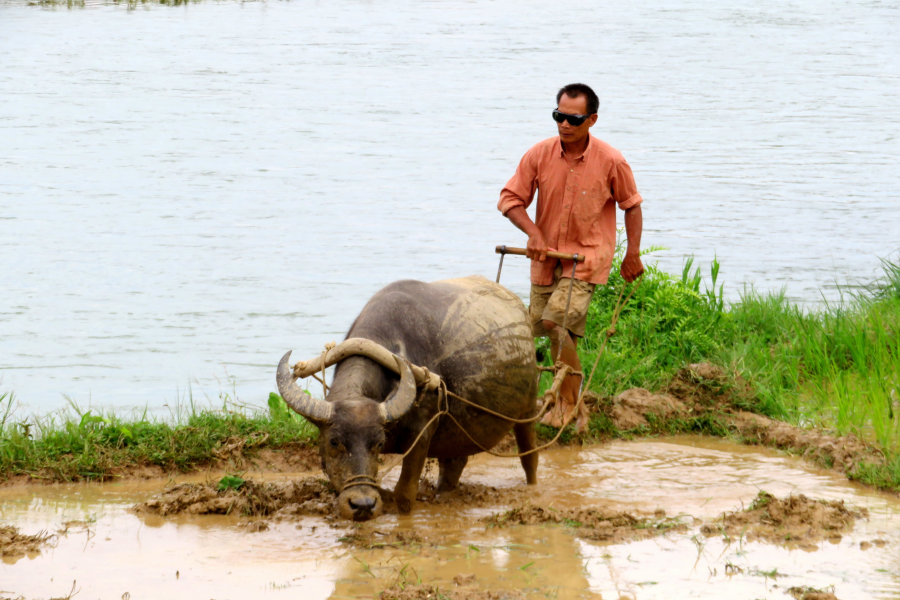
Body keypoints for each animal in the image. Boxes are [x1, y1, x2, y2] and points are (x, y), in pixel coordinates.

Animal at [278, 276, 536, 520]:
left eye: (379, 443)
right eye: (333, 441)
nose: (363, 504)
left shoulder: (421, 433)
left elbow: (404, 495)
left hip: (529, 409)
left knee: (529, 455)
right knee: (453, 465)